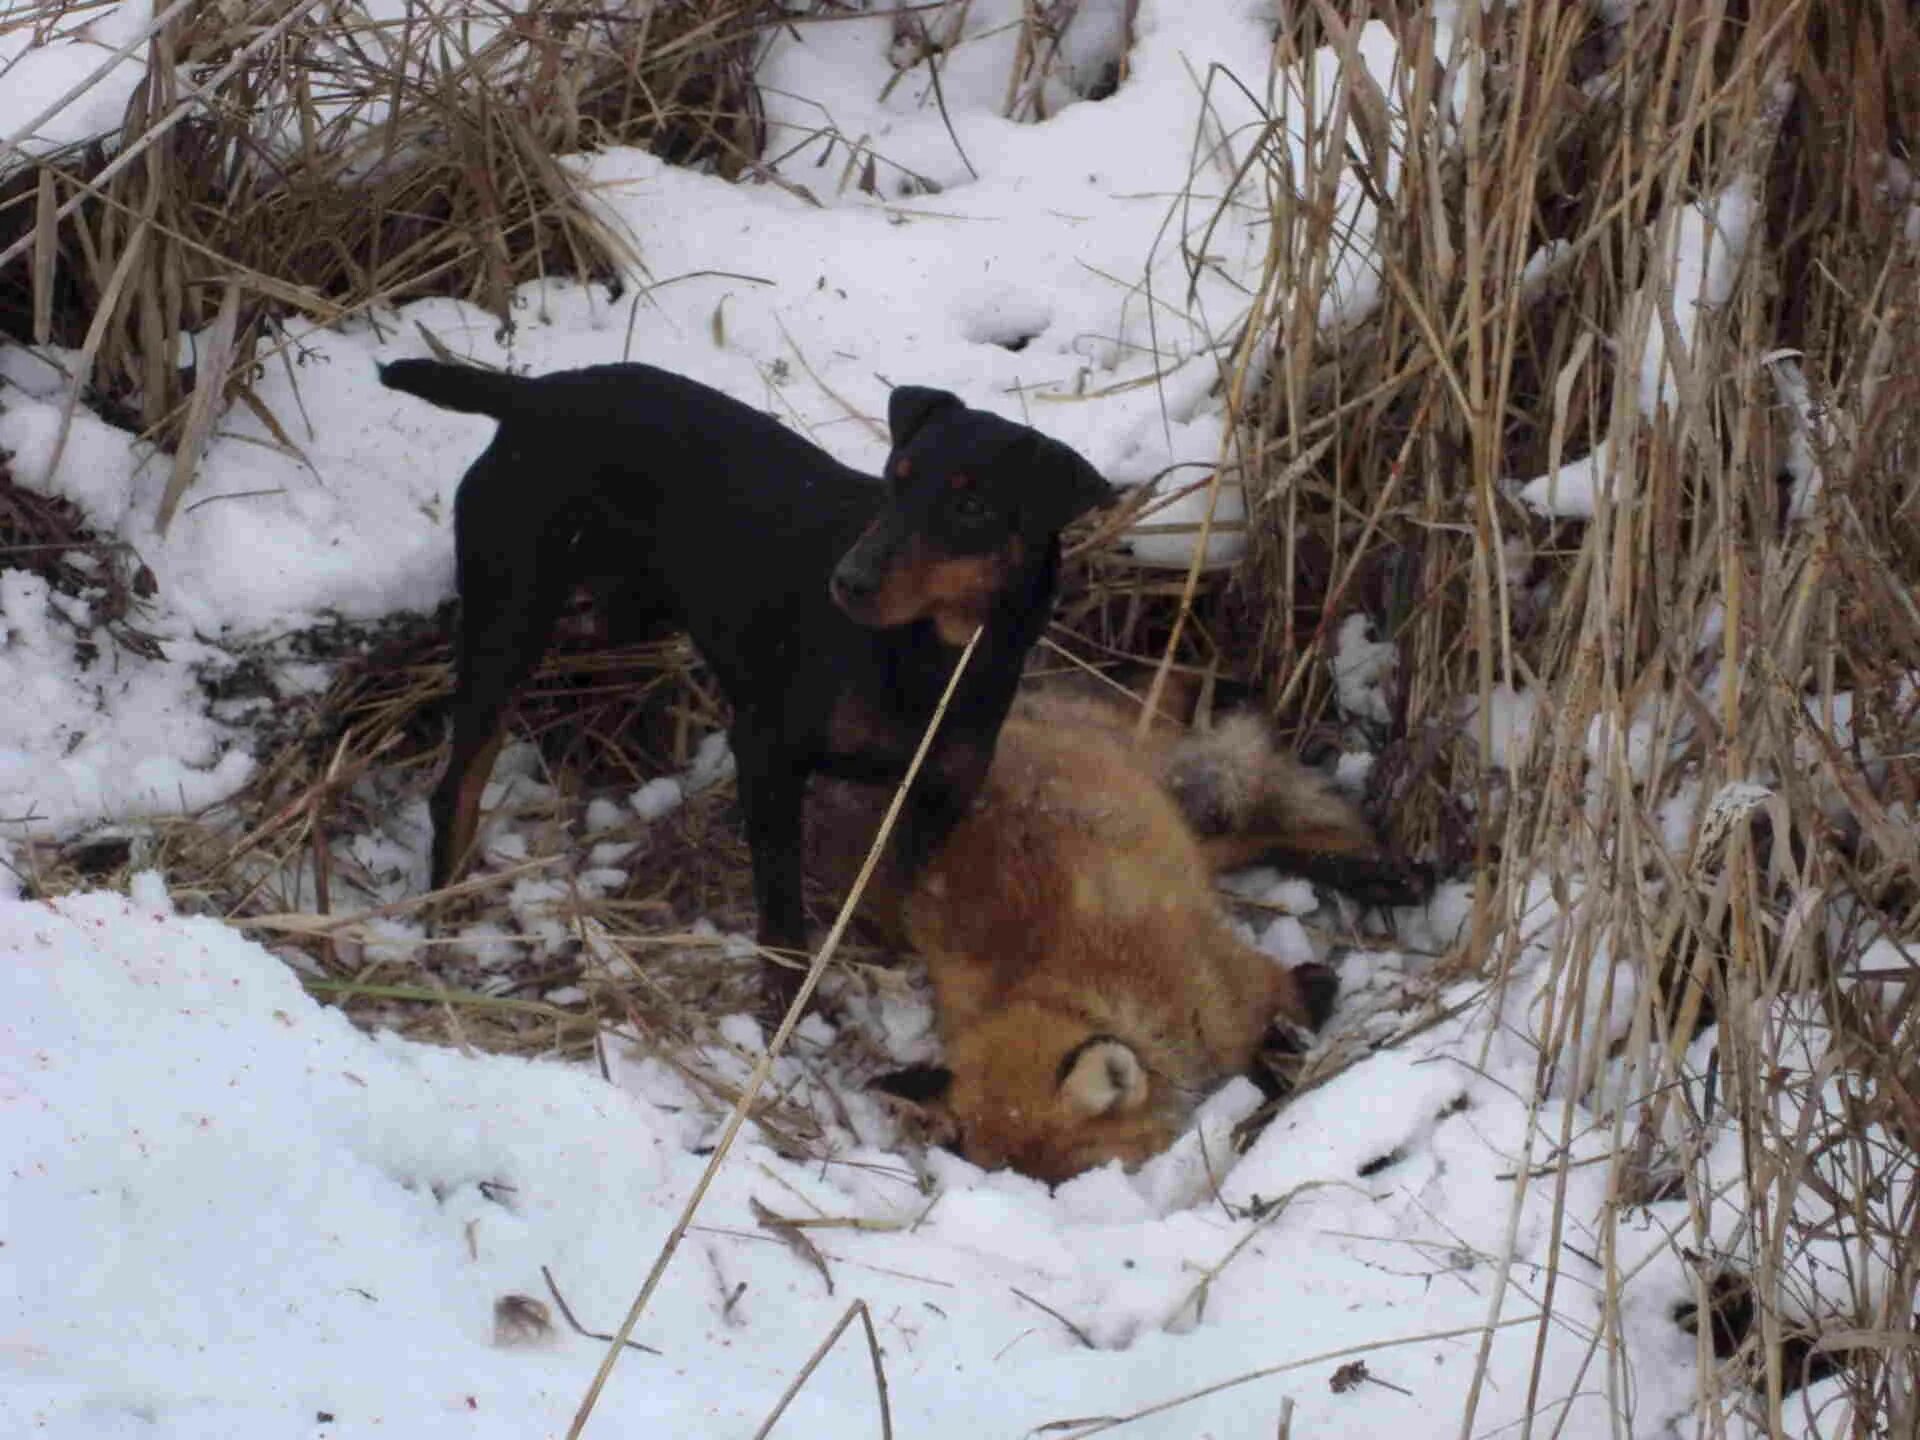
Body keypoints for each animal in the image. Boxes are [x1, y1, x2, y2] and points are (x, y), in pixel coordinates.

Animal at [374, 362, 1113, 1006]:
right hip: (513, 613)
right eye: (894, 480)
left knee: (586, 648)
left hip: (634, 605)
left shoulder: (941, 789)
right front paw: (787, 1000)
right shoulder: (768, 751)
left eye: (972, 504)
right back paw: (444, 907)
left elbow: (899, 889)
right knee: (459, 780)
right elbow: (782, 902)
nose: (848, 581)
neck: (930, 655)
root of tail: (531, 395)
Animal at [867, 687, 1428, 1182]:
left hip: (1175, 816)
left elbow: (1280, 1038)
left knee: (1249, 832)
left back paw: (1377, 874)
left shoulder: (1241, 993)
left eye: (1086, 1174)